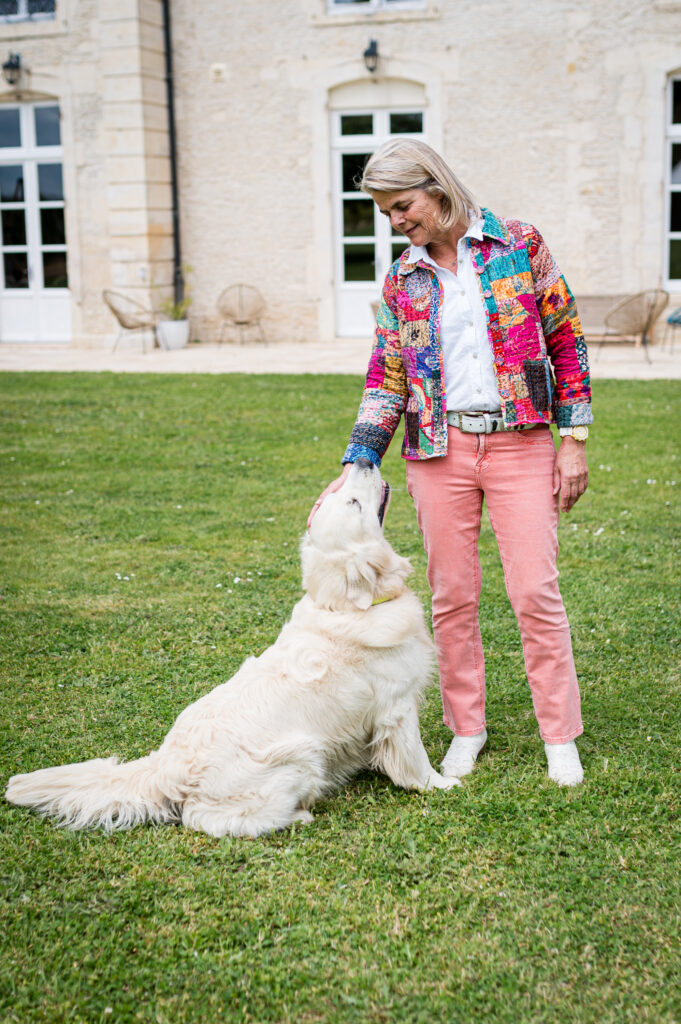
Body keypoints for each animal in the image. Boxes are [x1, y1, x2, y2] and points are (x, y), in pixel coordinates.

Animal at [5, 460, 458, 838]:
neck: (348, 604)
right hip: (301, 756)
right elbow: (414, 760)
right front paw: (442, 784)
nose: (363, 460)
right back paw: (297, 816)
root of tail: (165, 766)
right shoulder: (397, 709)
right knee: (205, 818)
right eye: (353, 502)